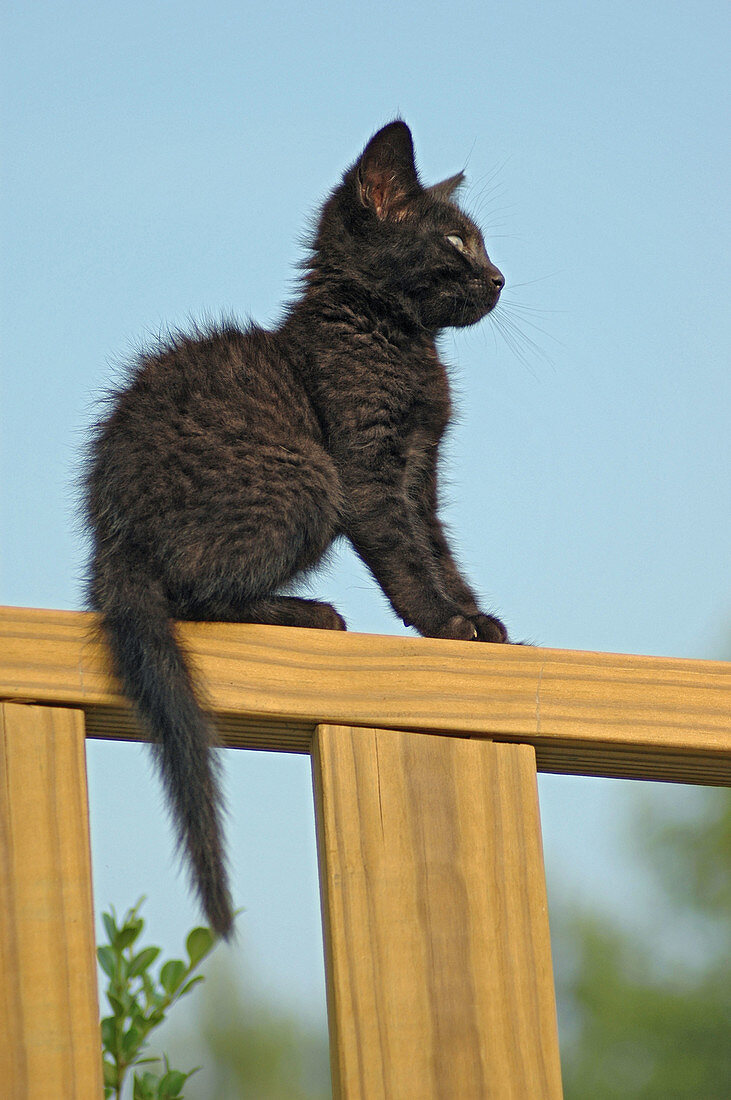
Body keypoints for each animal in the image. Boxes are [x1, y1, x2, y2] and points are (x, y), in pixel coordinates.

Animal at [84, 124, 507, 941]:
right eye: (455, 240)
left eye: (481, 243)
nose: (502, 277)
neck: (392, 335)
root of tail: (111, 532)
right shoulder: (368, 472)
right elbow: (407, 557)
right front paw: (446, 623)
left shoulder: (421, 474)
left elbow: (440, 548)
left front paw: (480, 619)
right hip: (307, 478)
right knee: (198, 596)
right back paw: (308, 613)